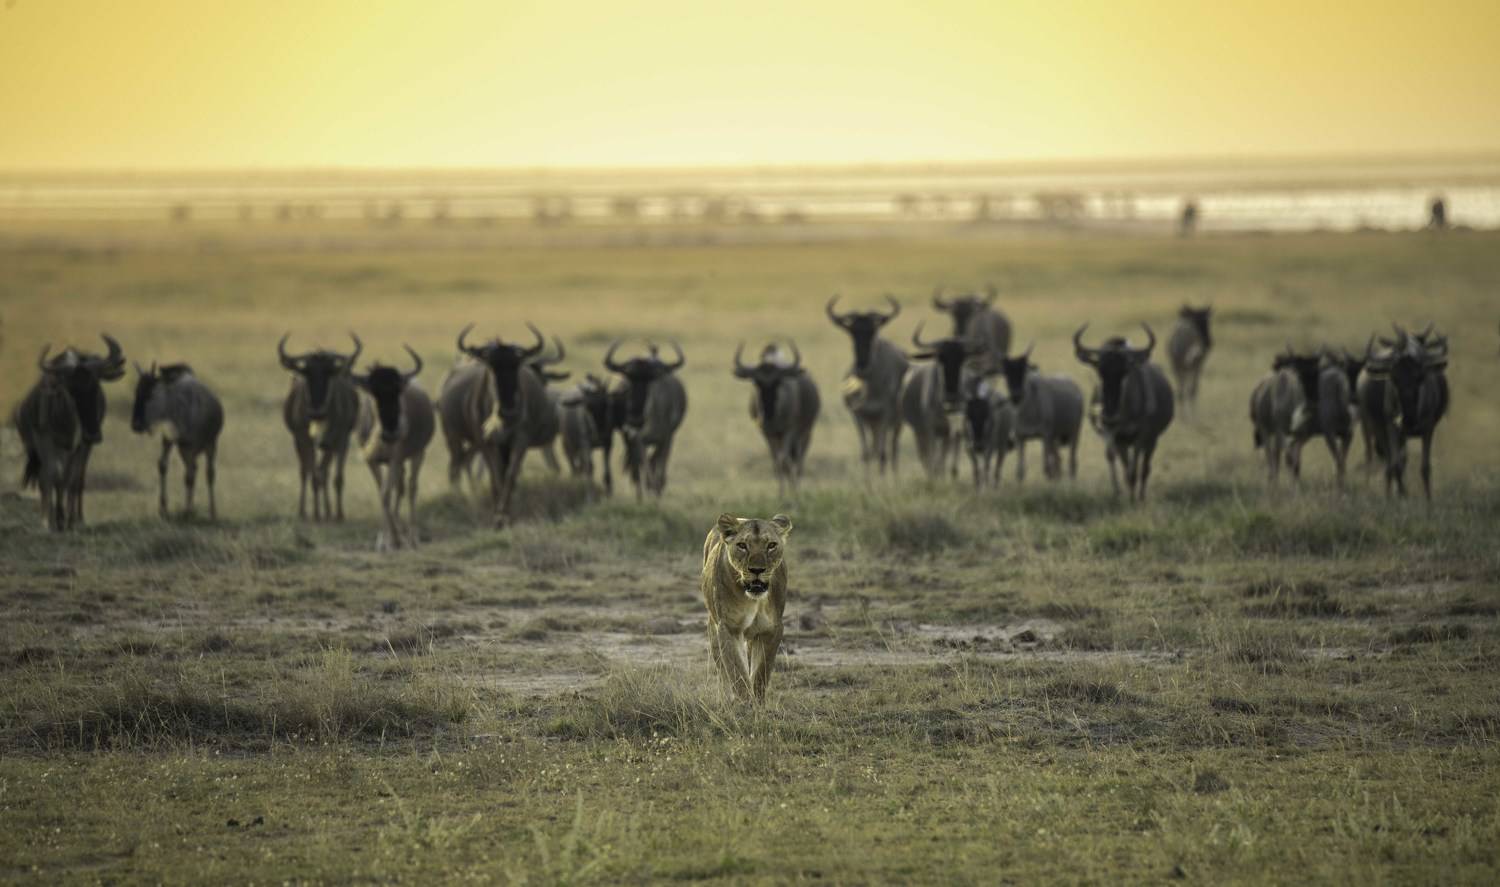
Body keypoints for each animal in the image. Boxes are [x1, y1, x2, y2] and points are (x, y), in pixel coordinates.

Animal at [700, 512, 793, 701]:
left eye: (771, 545)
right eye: (742, 545)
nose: (757, 570)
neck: (754, 600)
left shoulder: (772, 629)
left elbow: (760, 674)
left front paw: (757, 703)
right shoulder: (729, 628)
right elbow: (738, 675)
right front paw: (745, 704)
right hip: (714, 628)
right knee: (723, 670)